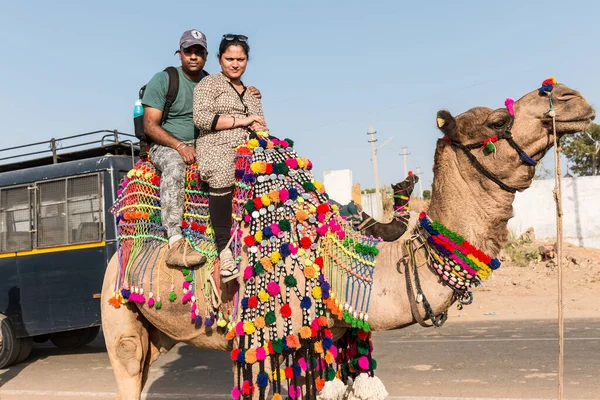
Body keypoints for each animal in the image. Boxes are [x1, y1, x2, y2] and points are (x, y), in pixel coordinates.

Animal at [101, 82, 592, 400]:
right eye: (499, 118)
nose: (570, 96)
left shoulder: (332, 336)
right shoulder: (275, 340)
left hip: (159, 332)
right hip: (118, 316)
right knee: (126, 367)